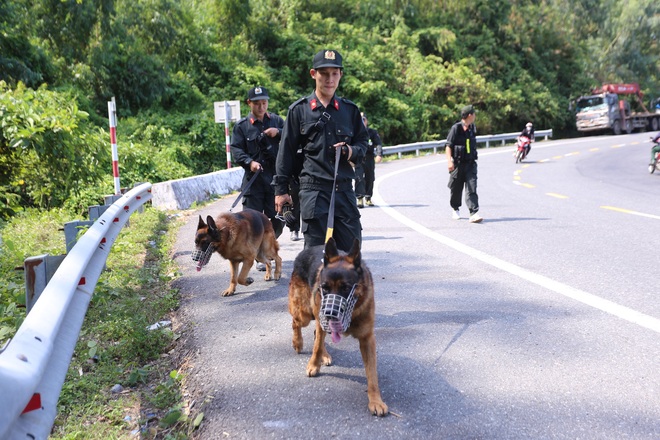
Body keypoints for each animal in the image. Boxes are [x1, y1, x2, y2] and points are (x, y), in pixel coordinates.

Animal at [288, 237, 386, 416]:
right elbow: (316, 347)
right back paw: (297, 343)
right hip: (305, 313)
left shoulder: (367, 339)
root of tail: (306, 251)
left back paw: (325, 355)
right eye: (325, 287)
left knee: (316, 334)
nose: (329, 313)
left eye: (345, 288)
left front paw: (376, 400)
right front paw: (313, 365)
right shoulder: (321, 320)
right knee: (297, 324)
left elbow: (372, 373)